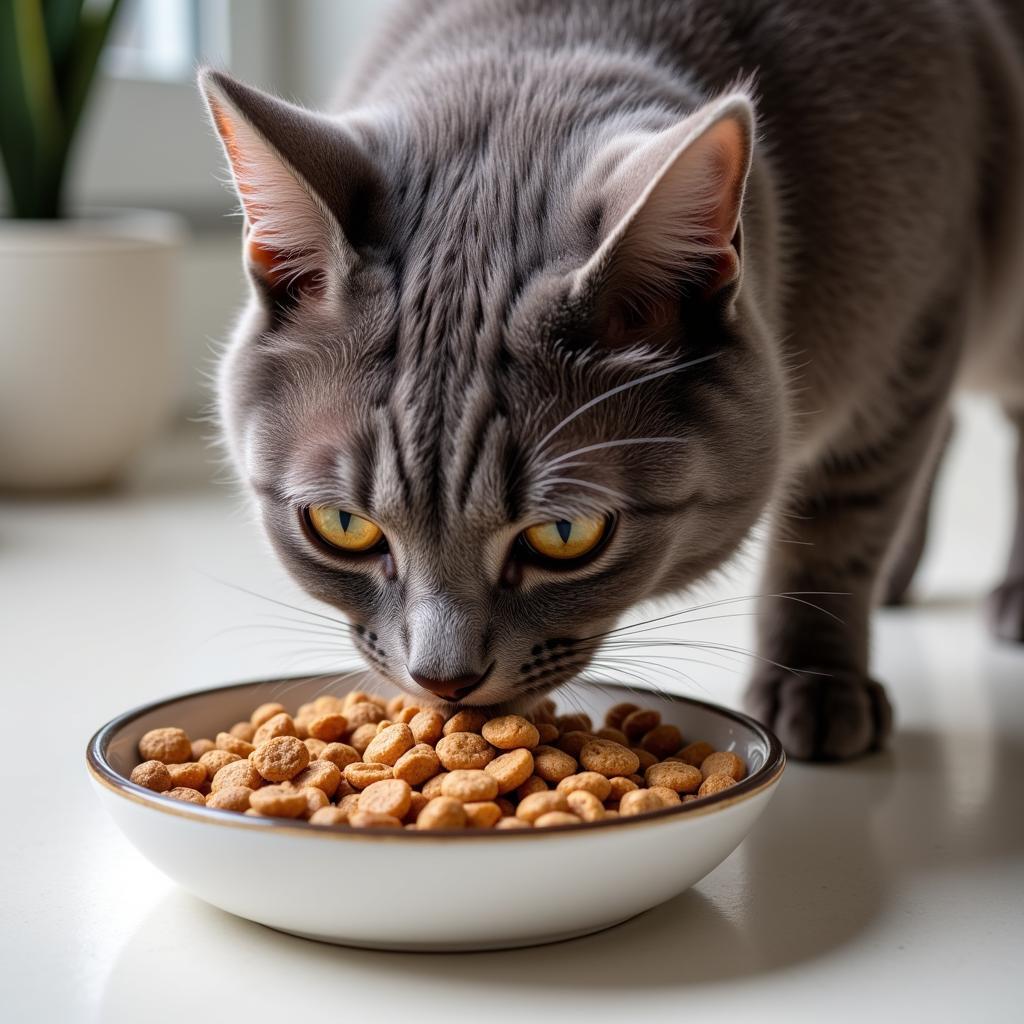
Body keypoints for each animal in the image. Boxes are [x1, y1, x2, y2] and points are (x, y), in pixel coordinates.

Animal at [199, 0, 1024, 761]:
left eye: (565, 535)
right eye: (343, 526)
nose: (445, 681)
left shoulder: (915, 333)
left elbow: (841, 525)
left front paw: (815, 682)